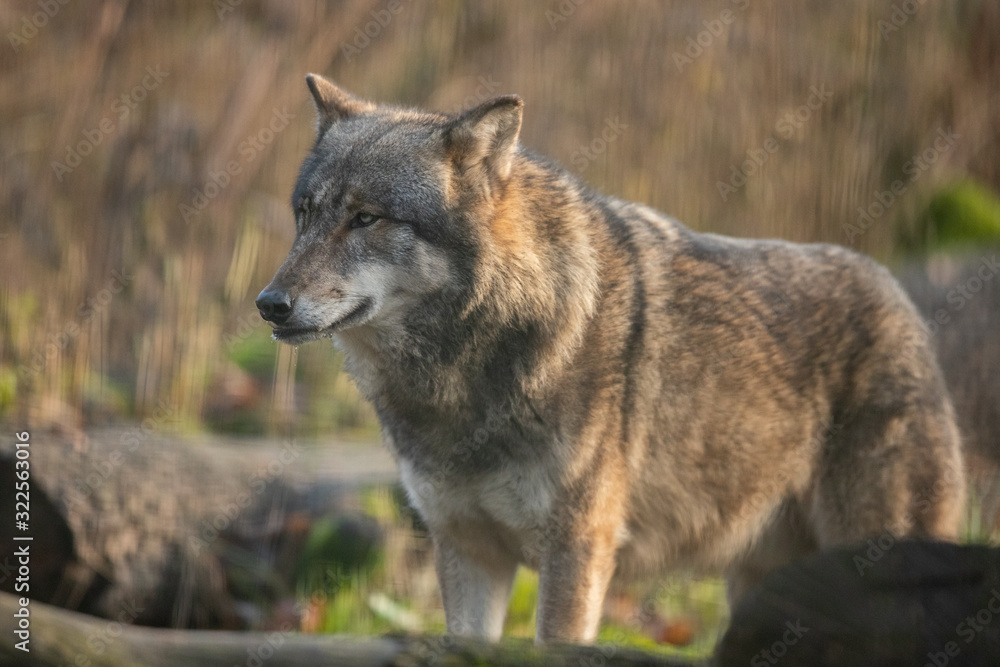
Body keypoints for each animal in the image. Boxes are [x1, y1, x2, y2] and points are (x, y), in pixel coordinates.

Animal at [258, 75, 968, 644]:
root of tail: (904, 302)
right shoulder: (468, 552)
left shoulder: (577, 550)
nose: (269, 304)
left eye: (366, 219)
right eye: (305, 215)